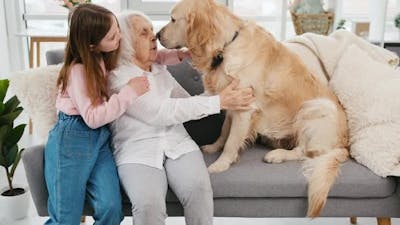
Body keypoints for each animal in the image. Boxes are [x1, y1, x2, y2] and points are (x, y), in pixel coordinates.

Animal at [158, 0, 348, 217]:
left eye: (173, 19)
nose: (157, 35)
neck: (226, 46)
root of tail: (344, 145)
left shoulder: (244, 109)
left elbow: (232, 141)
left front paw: (221, 164)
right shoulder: (232, 103)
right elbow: (224, 132)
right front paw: (214, 147)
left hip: (316, 108)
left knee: (306, 151)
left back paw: (277, 155)